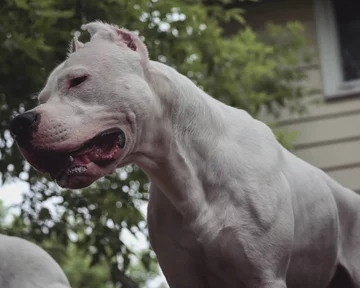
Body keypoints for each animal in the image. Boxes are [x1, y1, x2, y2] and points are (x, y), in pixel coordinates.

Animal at [8, 22, 360, 288]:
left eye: (78, 80)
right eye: (41, 98)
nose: (18, 123)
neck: (187, 174)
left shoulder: (266, 275)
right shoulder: (183, 276)